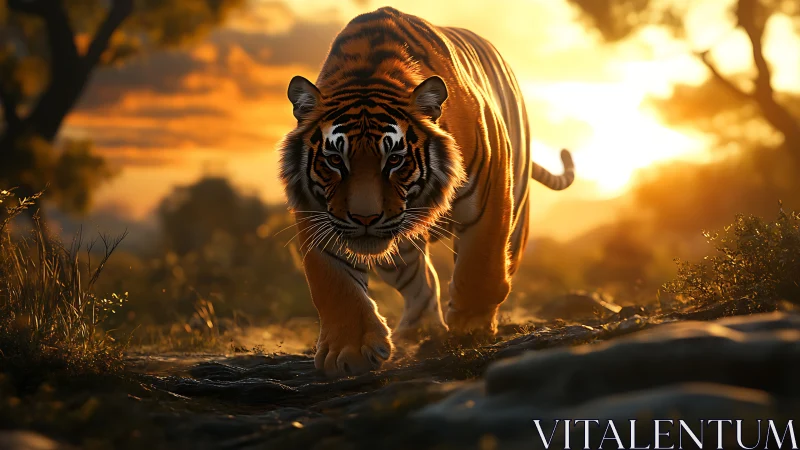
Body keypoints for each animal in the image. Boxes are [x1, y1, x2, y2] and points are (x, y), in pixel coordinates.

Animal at [279, 7, 574, 377]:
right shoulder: (317, 213)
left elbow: (481, 263)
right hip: (396, 252)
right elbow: (333, 282)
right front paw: (349, 351)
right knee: (420, 280)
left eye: (394, 159)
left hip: (517, 210)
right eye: (335, 160)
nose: (364, 218)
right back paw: (419, 329)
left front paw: (470, 326)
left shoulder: (491, 192)